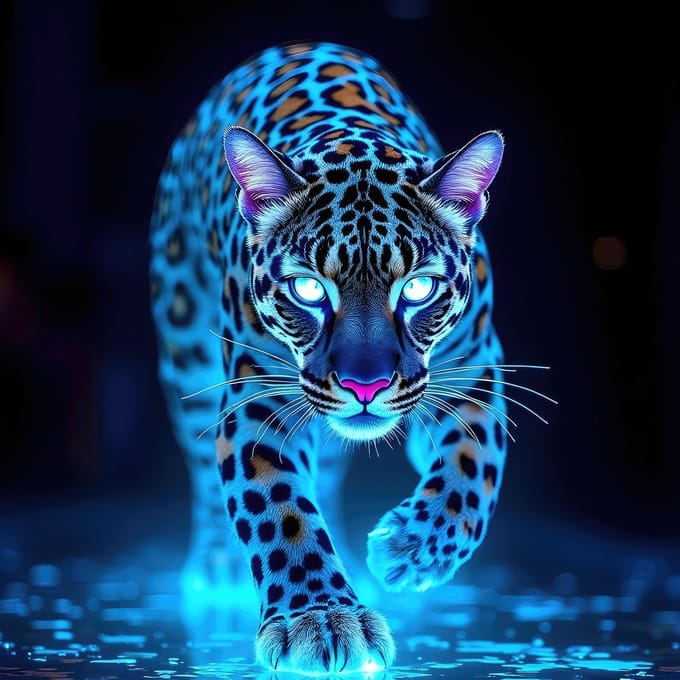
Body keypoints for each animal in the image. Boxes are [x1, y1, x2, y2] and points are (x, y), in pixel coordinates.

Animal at [150, 41, 511, 673]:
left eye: (418, 288)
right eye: (309, 289)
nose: (365, 386)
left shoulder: (476, 370)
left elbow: (472, 472)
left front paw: (410, 551)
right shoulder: (258, 399)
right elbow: (278, 506)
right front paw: (319, 618)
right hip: (184, 347)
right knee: (202, 465)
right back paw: (218, 568)